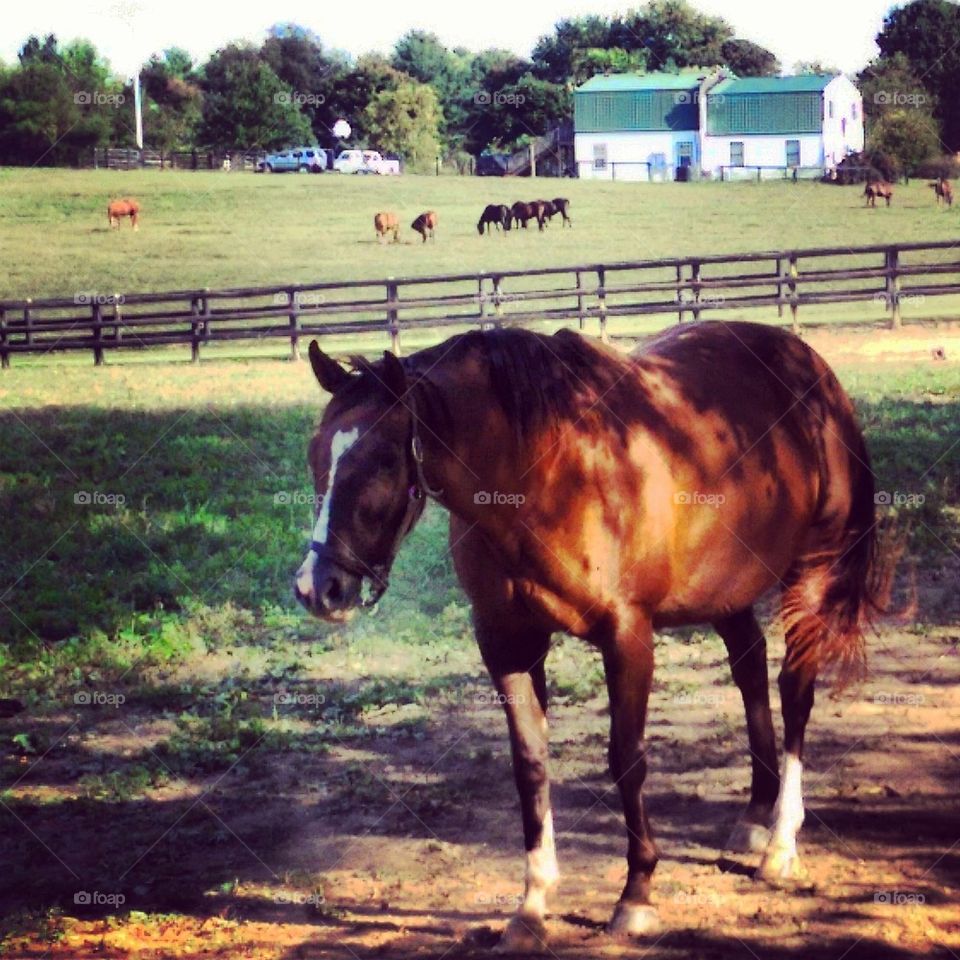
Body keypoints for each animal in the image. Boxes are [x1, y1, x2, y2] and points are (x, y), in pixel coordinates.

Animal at [294, 322, 882, 951]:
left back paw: (780, 844)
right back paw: (753, 816)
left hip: (812, 570)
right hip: (725, 589)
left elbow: (627, 759)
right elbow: (530, 765)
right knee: (749, 667)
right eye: (316, 454)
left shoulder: (627, 635)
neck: (545, 474)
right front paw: (532, 905)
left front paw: (637, 896)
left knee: (794, 690)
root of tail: (813, 371)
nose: (317, 587)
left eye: (383, 460)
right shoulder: (506, 641)